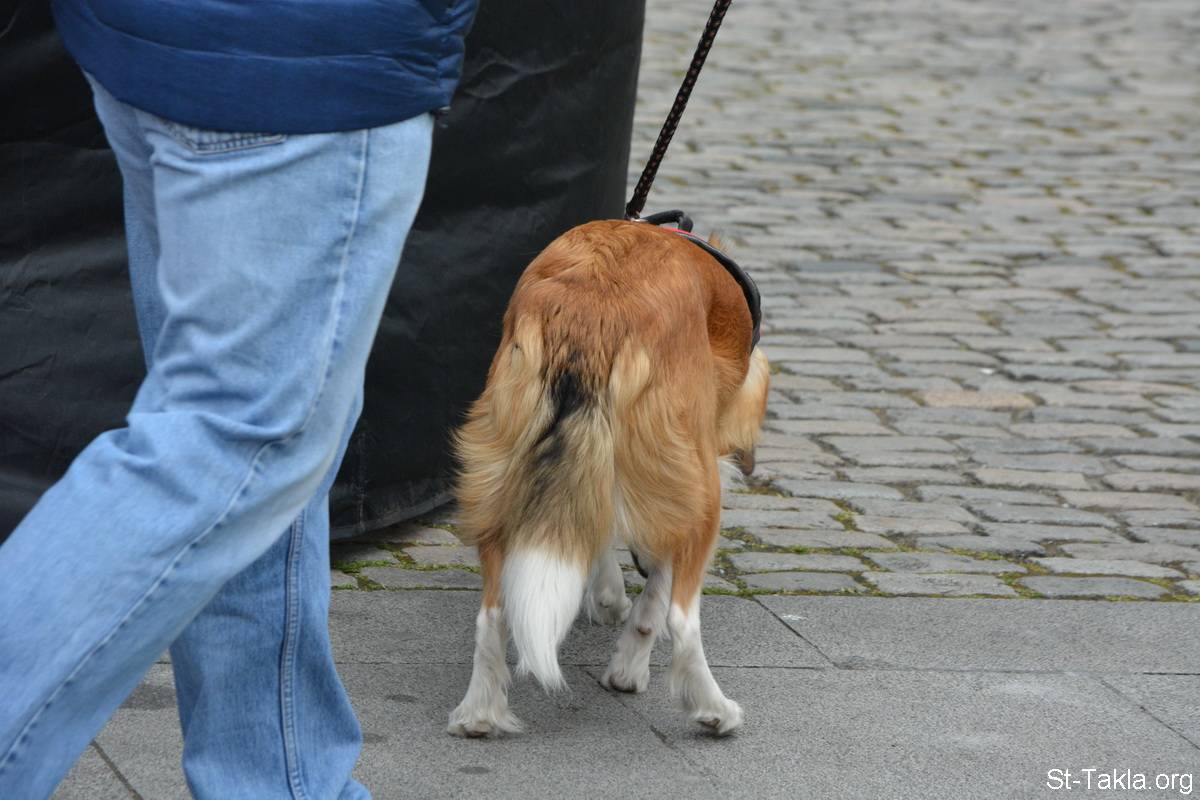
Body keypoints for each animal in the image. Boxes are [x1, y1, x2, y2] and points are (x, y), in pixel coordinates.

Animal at [446, 219, 769, 738]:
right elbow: (654, 601)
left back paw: (478, 714)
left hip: (496, 471)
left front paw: (607, 598)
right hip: (701, 495)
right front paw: (627, 668)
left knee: (492, 614)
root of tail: (591, 311)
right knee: (682, 621)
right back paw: (714, 710)